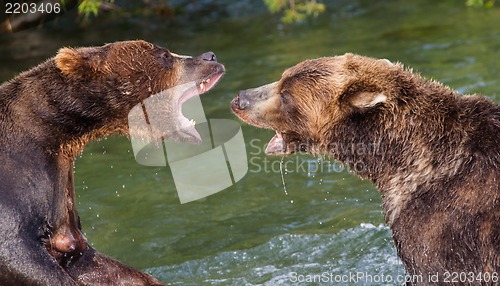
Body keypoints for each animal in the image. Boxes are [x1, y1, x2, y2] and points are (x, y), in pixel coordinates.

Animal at [0, 39, 225, 284]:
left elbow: (90, 260)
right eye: (164, 55)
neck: (53, 132)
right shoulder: (18, 179)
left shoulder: (61, 196)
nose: (210, 56)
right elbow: (20, 252)